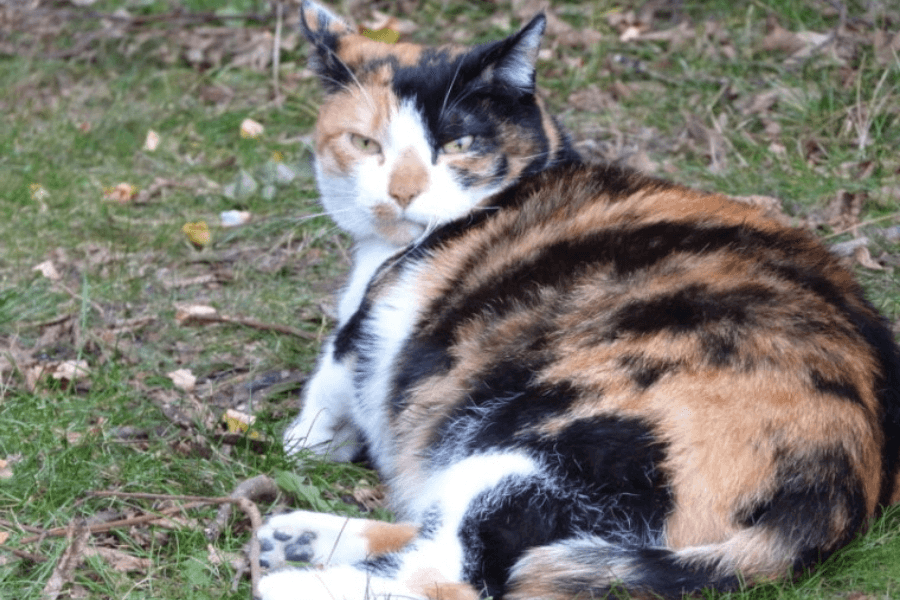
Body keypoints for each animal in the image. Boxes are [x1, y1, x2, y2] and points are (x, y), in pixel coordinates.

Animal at [255, 2, 900, 596]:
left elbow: (332, 372)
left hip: (559, 437)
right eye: (365, 143)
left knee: (458, 571)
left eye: (460, 142)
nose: (403, 191)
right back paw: (296, 538)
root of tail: (835, 479)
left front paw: (302, 441)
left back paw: (292, 580)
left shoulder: (367, 321)